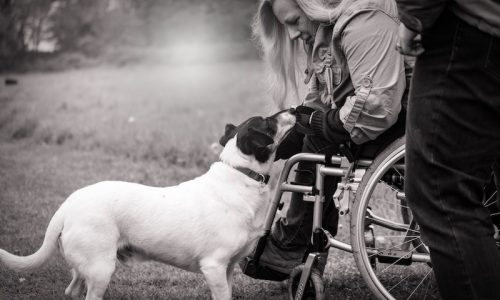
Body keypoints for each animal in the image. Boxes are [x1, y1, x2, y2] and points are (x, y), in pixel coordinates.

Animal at [0, 110, 296, 300]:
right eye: (268, 121)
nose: (293, 109)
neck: (241, 174)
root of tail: (67, 206)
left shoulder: (229, 268)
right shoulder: (213, 266)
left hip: (86, 266)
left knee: (71, 290)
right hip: (101, 268)